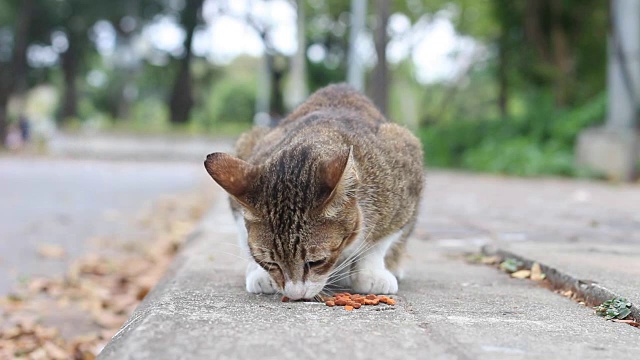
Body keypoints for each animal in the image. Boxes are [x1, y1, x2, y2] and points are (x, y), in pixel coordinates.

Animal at [206, 83, 424, 300]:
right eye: (270, 263)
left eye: (316, 262)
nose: (295, 295)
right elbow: (244, 234)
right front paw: (260, 273)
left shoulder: (403, 183)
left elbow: (379, 241)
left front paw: (371, 273)